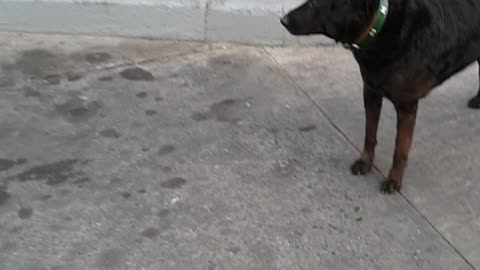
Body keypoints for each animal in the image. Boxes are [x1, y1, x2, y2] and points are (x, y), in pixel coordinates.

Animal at [280, 0, 480, 194]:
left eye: (314, 3)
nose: (283, 20)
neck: (380, 30)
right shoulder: (370, 92)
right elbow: (370, 133)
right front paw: (365, 162)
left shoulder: (406, 105)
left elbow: (400, 149)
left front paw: (394, 180)